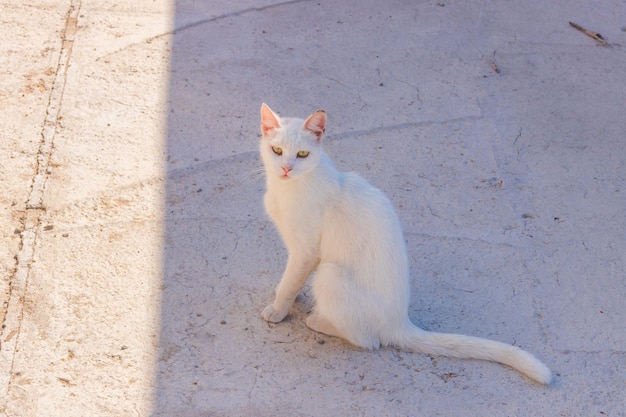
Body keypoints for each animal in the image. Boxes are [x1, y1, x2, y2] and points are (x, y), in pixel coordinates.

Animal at [258, 101, 552, 384]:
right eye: (277, 150)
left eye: (302, 155)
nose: (286, 168)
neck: (288, 190)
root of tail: (400, 322)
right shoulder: (300, 252)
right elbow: (292, 280)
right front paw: (288, 295)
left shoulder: (306, 251)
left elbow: (292, 280)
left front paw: (278, 310)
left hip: (331, 275)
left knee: (369, 340)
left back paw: (320, 321)